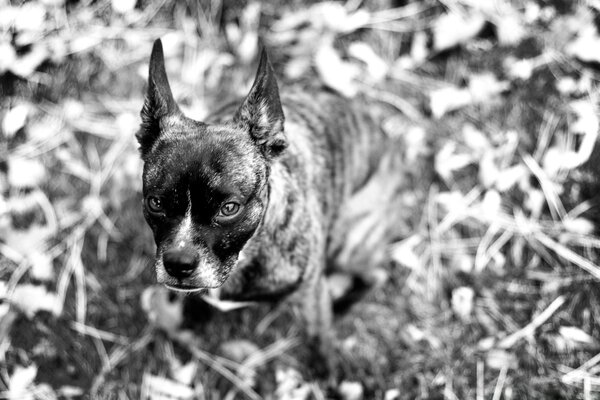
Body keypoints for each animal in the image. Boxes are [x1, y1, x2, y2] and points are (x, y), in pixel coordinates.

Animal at [138, 39, 406, 368]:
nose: (178, 262)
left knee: (376, 273)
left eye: (229, 208)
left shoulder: (311, 297)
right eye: (155, 203)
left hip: (350, 243)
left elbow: (320, 341)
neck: (249, 250)